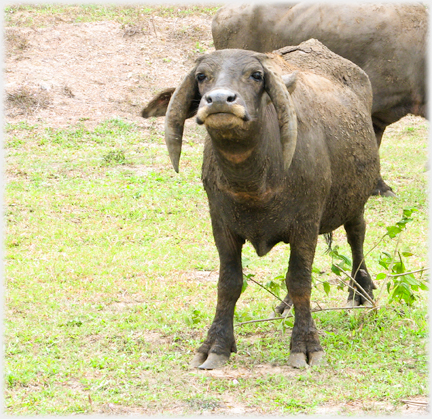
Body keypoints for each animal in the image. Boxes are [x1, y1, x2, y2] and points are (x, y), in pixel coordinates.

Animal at [141, 38, 378, 368]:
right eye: (202, 76)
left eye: (255, 75)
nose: (219, 100)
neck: (254, 183)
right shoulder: (221, 226)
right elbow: (229, 283)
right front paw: (215, 346)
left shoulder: (306, 223)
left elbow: (300, 279)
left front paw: (306, 345)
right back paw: (285, 306)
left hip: (356, 200)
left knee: (357, 237)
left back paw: (361, 294)